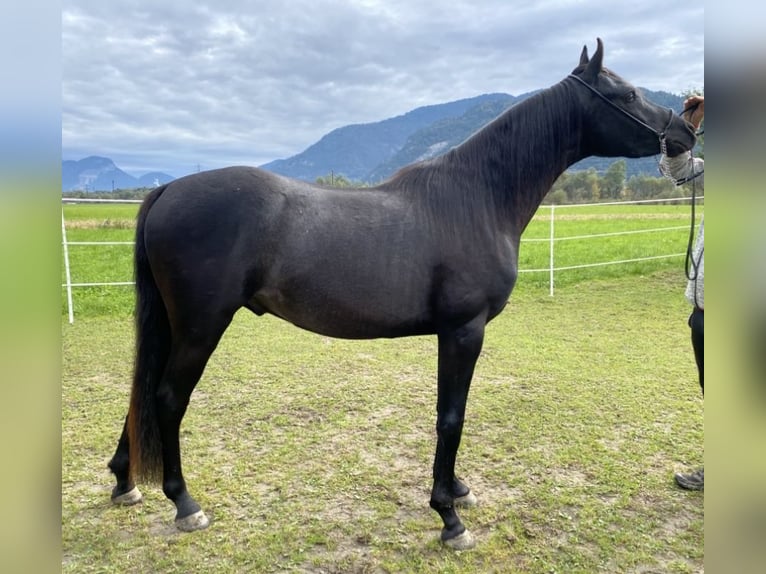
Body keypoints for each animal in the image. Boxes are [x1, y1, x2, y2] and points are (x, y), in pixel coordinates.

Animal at [106, 39, 696, 550]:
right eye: (626, 94)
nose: (685, 131)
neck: (477, 196)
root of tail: (168, 189)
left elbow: (452, 413)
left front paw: (457, 491)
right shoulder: (463, 330)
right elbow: (451, 417)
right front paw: (449, 517)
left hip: (175, 324)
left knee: (143, 394)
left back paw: (124, 482)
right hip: (201, 325)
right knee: (167, 398)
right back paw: (184, 504)